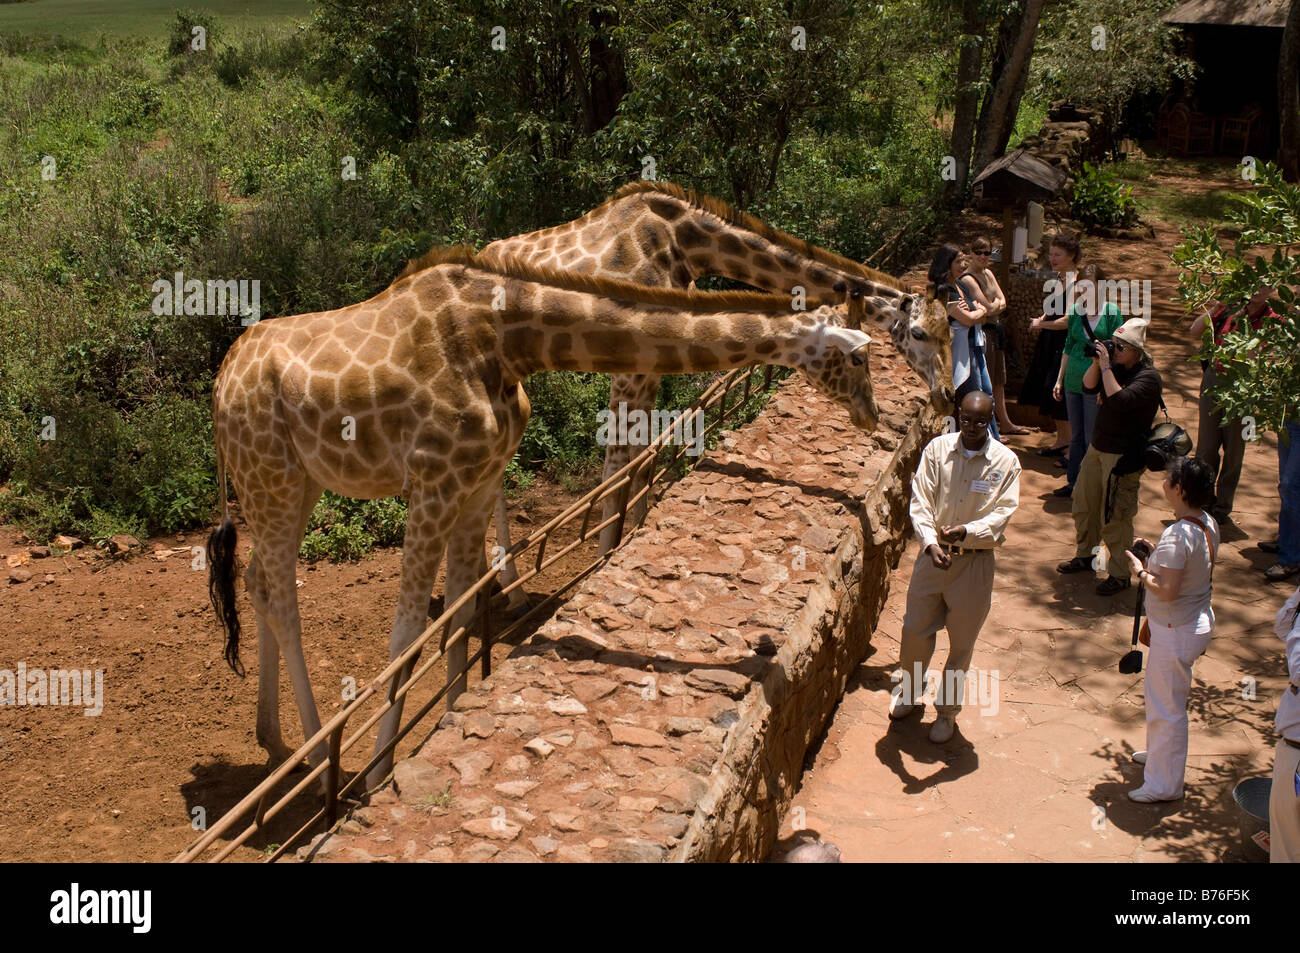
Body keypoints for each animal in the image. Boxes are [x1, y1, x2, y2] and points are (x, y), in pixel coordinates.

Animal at [205, 243, 894, 790]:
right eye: (860, 358)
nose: (874, 417)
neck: (507, 341)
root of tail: (219, 386)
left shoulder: (477, 481)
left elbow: (462, 613)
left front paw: (453, 714)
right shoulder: (432, 481)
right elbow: (408, 633)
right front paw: (378, 775)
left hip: (296, 484)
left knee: (258, 581)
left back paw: (274, 740)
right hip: (271, 477)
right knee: (281, 594)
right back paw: (321, 760)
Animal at [478, 180, 946, 561]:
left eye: (949, 331)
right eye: (920, 333)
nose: (944, 395)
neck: (684, 242)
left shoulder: (653, 360)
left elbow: (643, 458)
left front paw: (629, 537)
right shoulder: (629, 362)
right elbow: (616, 462)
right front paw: (603, 555)